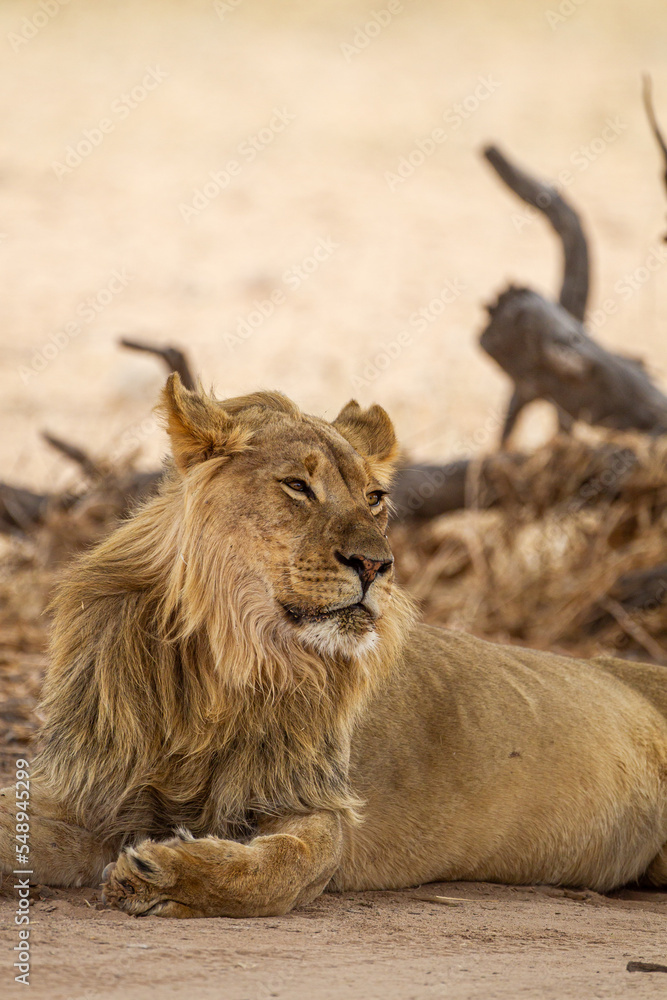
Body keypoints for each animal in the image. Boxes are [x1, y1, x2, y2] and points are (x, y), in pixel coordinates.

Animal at [1, 374, 666, 918]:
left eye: (374, 497)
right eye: (298, 485)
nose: (376, 564)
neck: (226, 661)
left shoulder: (318, 805)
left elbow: (278, 869)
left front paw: (162, 875)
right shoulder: (92, 792)